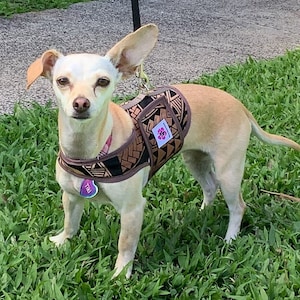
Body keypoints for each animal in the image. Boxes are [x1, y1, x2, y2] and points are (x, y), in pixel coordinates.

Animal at [27, 24, 298, 278]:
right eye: (62, 81)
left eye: (103, 82)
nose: (81, 104)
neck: (89, 151)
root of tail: (240, 105)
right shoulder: (71, 197)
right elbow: (70, 223)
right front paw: (62, 241)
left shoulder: (132, 209)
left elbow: (125, 245)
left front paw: (120, 275)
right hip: (195, 160)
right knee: (210, 186)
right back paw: (202, 212)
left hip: (228, 172)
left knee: (238, 206)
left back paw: (230, 239)